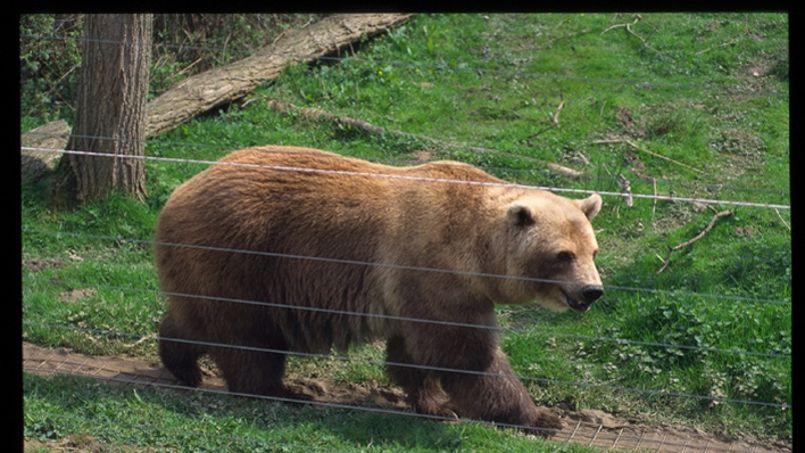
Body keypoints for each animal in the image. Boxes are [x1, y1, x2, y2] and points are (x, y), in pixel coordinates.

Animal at [154, 145, 600, 434]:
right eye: (563, 254)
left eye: (592, 250)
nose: (592, 291)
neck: (476, 252)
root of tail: (176, 193)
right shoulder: (433, 268)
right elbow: (467, 353)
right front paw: (539, 417)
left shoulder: (416, 288)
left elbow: (413, 352)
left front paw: (435, 403)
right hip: (240, 254)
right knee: (247, 335)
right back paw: (282, 390)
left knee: (198, 318)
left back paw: (183, 364)